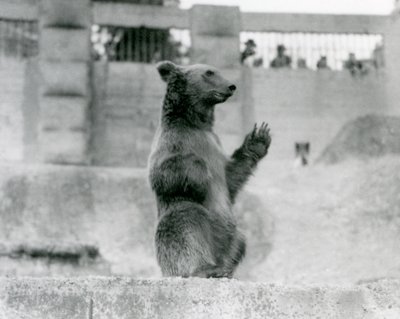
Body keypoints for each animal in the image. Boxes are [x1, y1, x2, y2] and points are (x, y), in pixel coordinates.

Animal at [148, 62, 270, 278]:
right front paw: (199, 170)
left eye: (217, 70)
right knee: (186, 224)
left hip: (231, 235)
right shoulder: (172, 142)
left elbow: (231, 178)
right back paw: (206, 269)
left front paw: (258, 138)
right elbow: (161, 174)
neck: (196, 124)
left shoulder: (216, 146)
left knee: (239, 243)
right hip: (191, 217)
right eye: (209, 72)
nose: (231, 86)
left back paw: (225, 269)